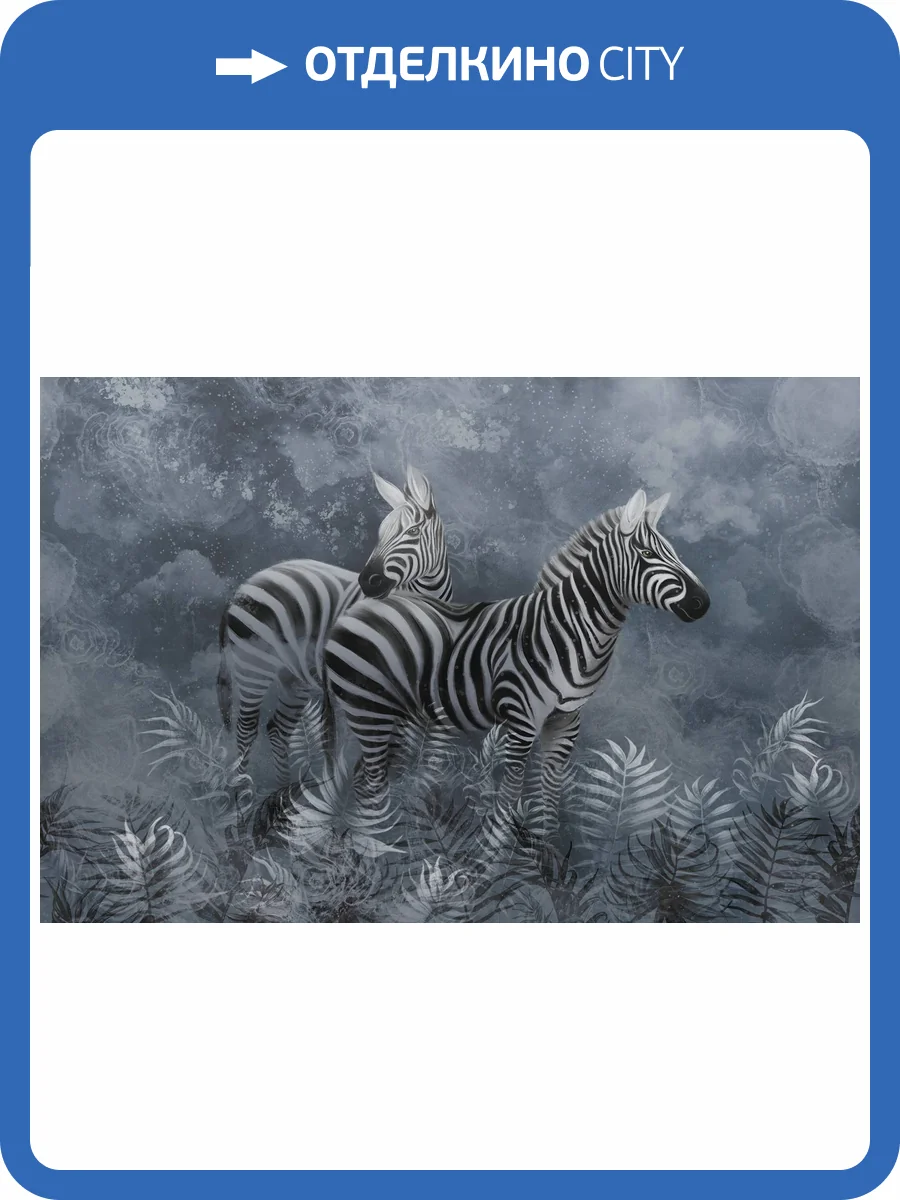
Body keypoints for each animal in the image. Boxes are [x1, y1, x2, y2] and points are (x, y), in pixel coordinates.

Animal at [217, 466, 452, 784]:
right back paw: (243, 792)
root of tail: (244, 585)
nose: (368, 581)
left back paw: (283, 786)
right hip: (253, 666)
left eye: (413, 532)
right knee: (245, 731)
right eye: (380, 533)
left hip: (294, 678)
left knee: (278, 729)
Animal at [323, 488, 710, 836]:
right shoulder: (522, 719)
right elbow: (509, 794)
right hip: (366, 707)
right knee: (367, 780)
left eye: (673, 552)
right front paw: (494, 856)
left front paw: (543, 858)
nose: (703, 603)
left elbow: (549, 800)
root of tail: (359, 606)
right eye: (646, 553)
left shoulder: (566, 721)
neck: (567, 631)